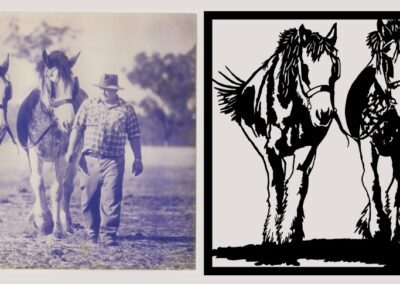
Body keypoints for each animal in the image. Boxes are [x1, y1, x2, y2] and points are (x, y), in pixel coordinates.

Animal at [216, 23, 340, 244]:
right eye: (305, 68)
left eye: (335, 68)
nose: (325, 113)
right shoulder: (271, 150)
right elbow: (277, 187)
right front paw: (273, 235)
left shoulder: (307, 149)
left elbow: (298, 186)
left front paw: (289, 233)